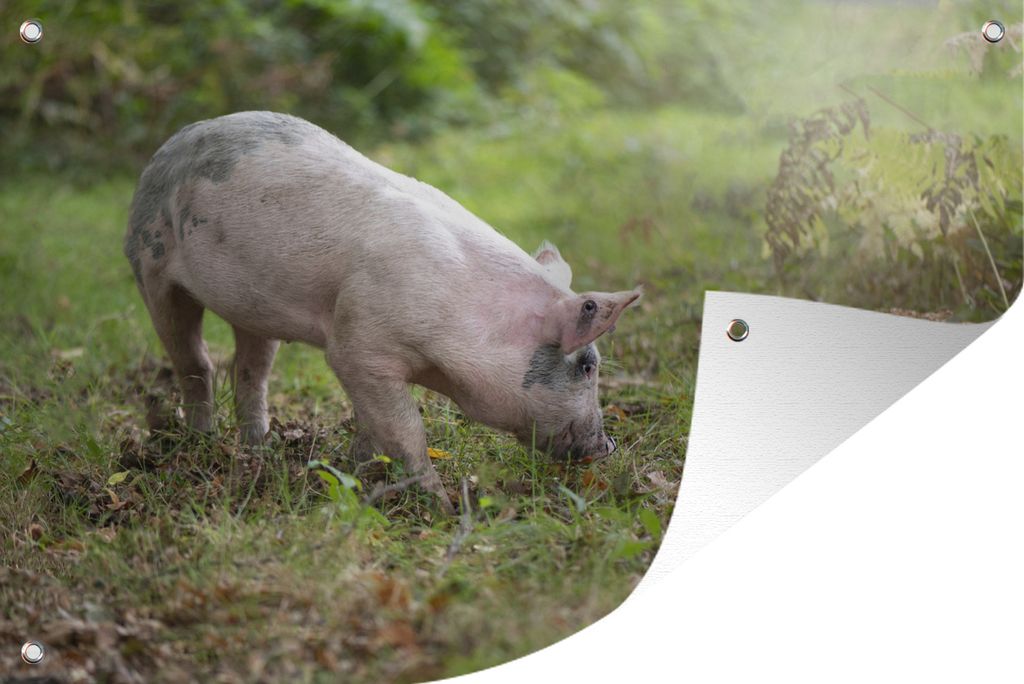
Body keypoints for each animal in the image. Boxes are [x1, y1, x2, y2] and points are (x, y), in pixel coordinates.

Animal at [124, 111, 639, 514]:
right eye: (588, 366)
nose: (608, 445)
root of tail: (175, 139)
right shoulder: (358, 348)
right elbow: (406, 429)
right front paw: (444, 509)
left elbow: (373, 426)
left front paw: (355, 477)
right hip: (149, 266)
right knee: (195, 361)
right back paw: (202, 442)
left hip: (253, 306)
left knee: (250, 369)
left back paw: (258, 447)